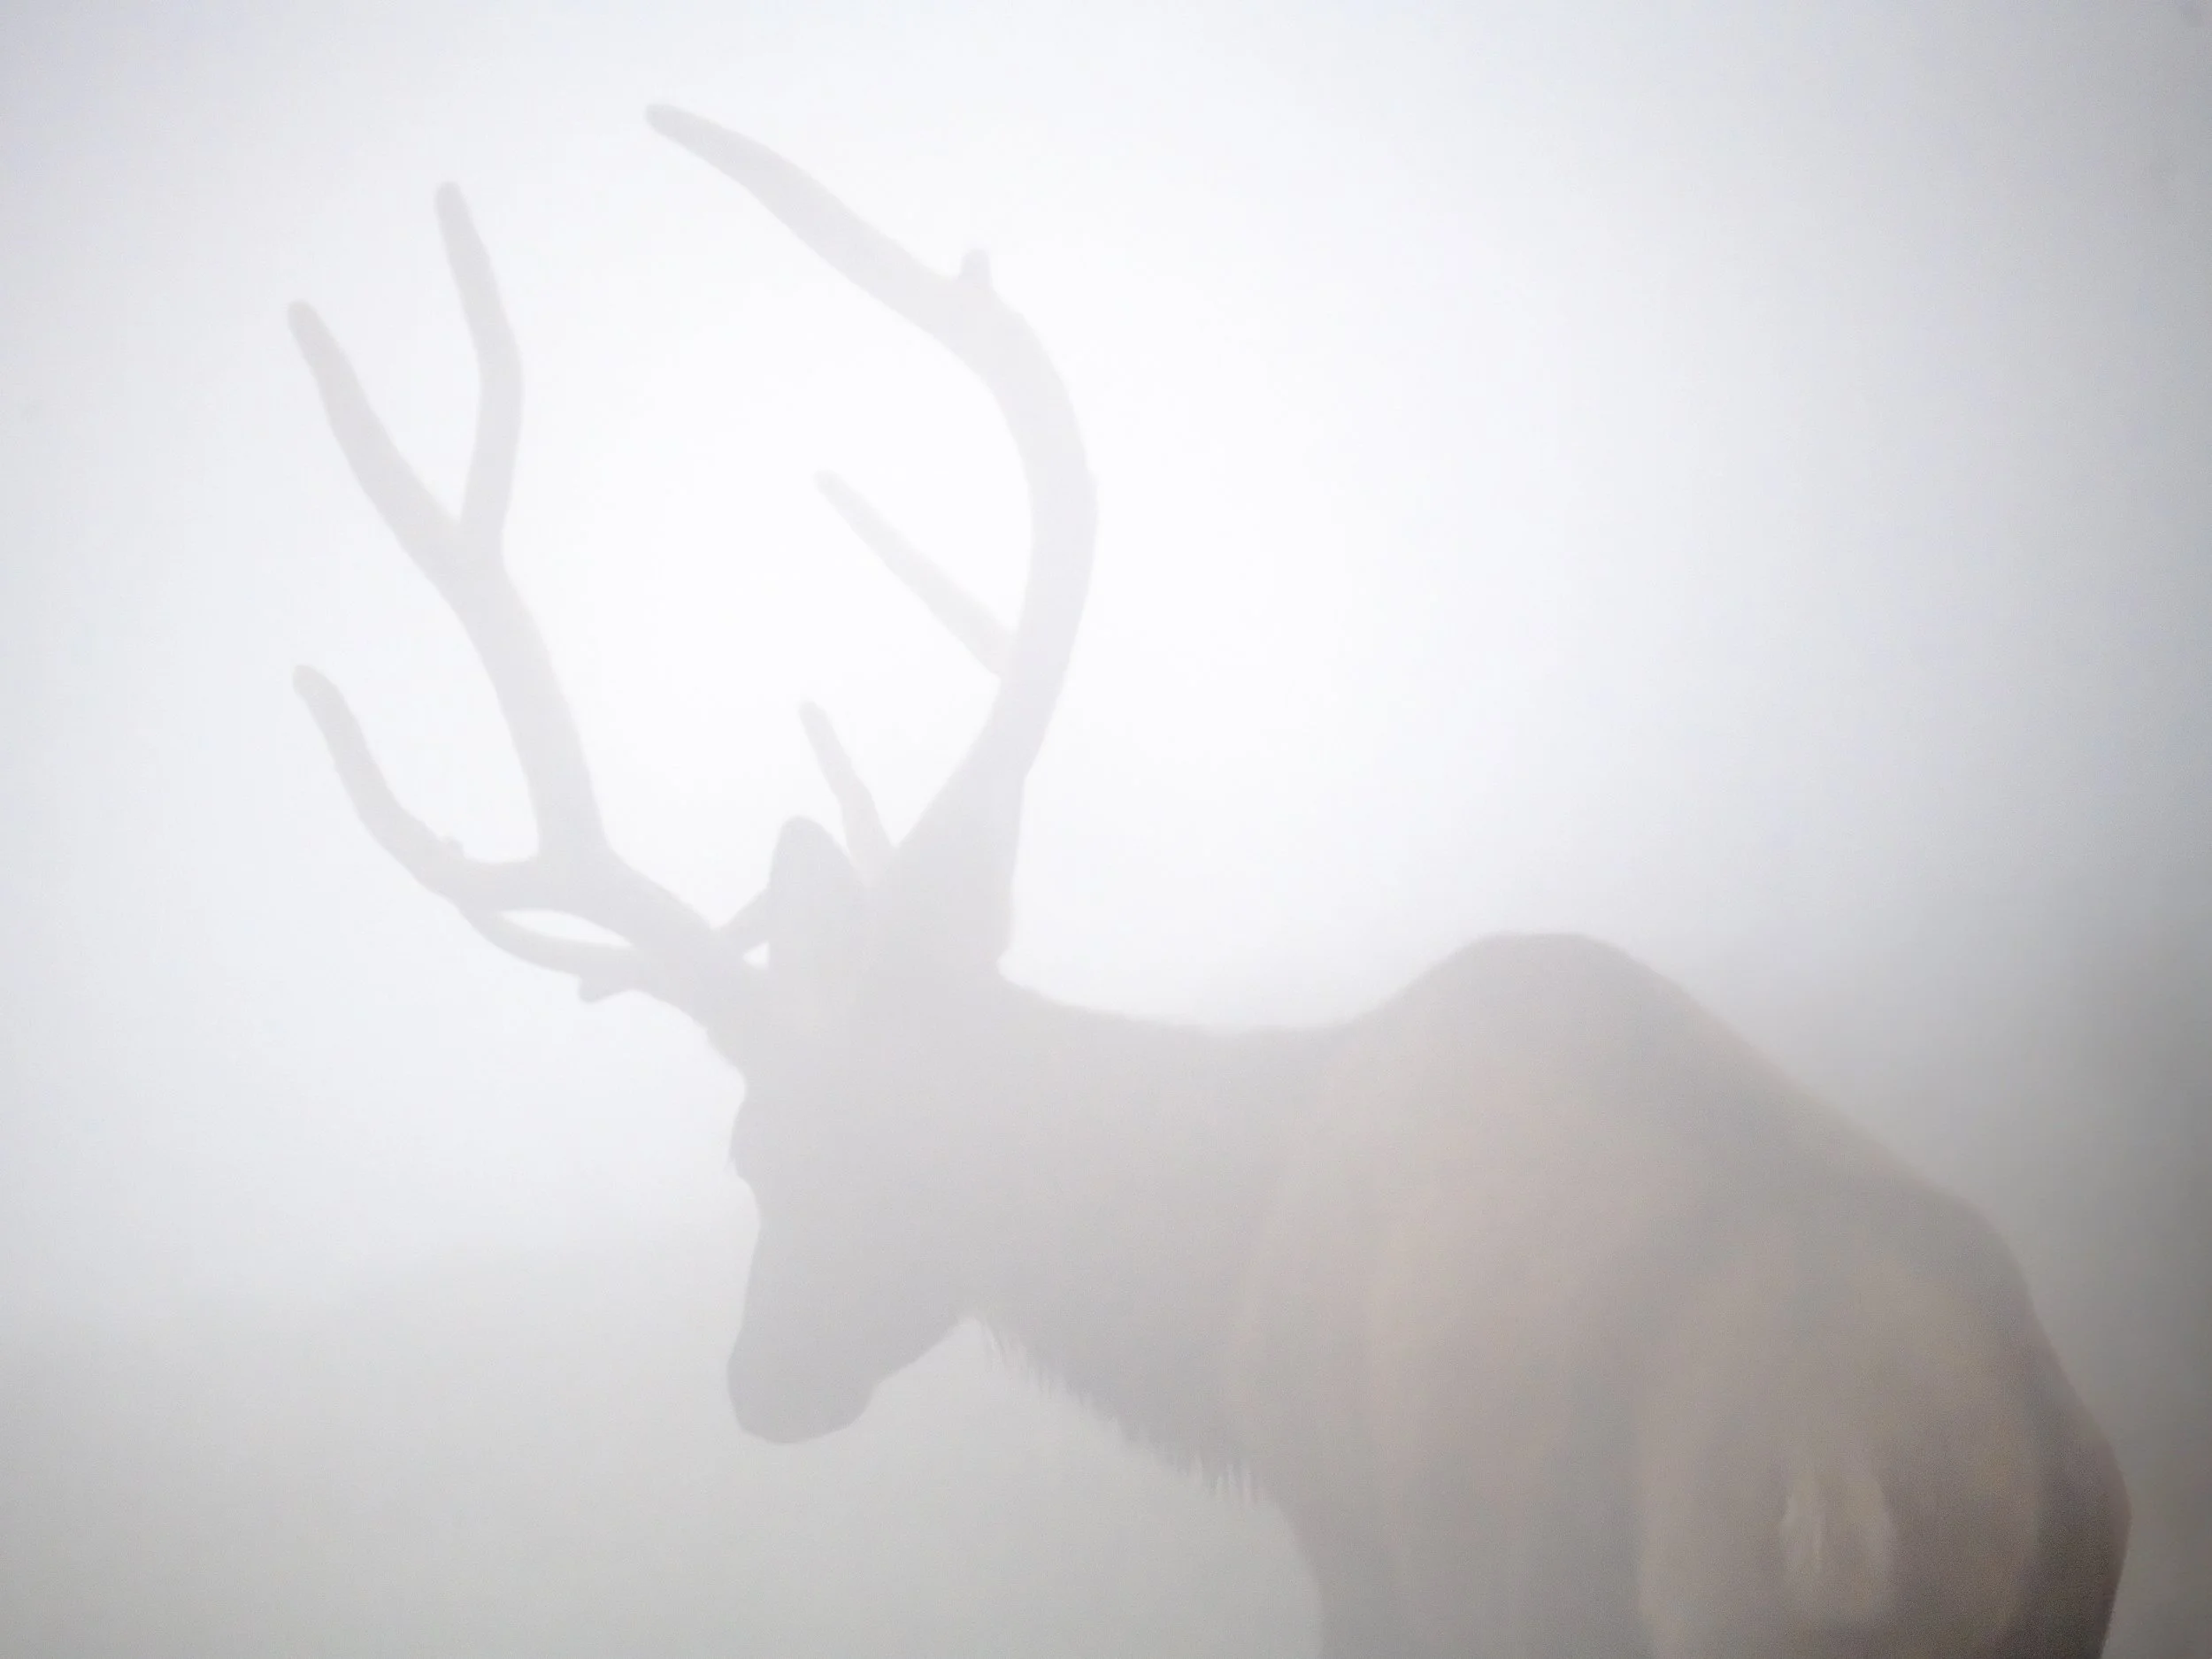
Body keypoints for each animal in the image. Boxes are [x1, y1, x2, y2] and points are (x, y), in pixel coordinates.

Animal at [291, 108, 2130, 1659]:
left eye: (766, 1144)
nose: (758, 1380)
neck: (1217, 1280)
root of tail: (1881, 1482)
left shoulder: (1357, 1537)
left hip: (1632, 1583)